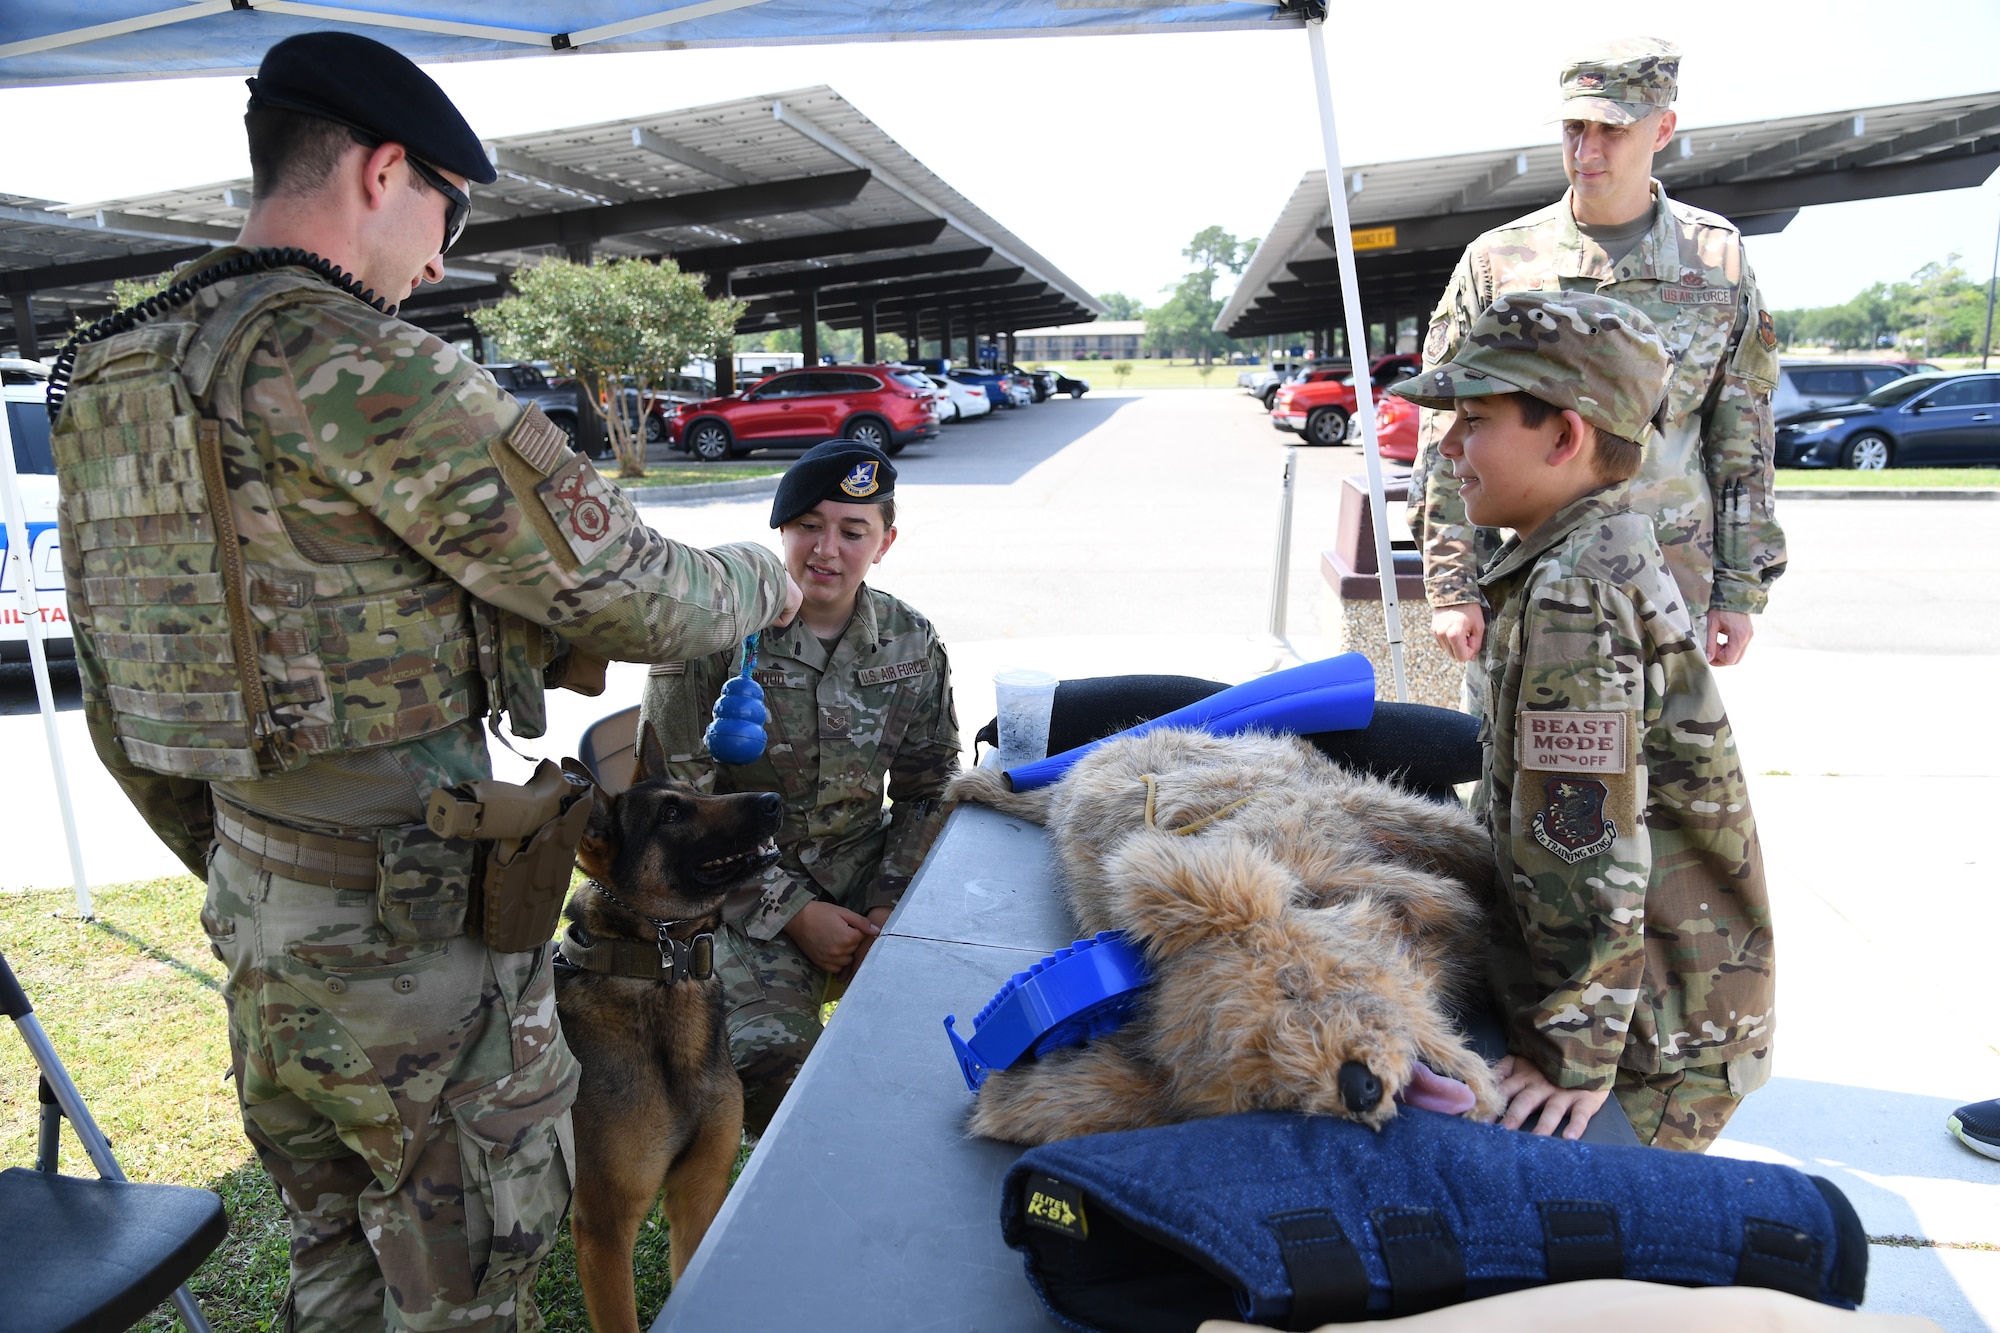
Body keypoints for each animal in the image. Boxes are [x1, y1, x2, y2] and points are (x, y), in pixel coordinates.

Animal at [564, 732, 788, 1320]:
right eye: (669, 814)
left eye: (695, 792)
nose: (774, 801)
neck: (659, 970)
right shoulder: (603, 1231)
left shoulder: (700, 1195)